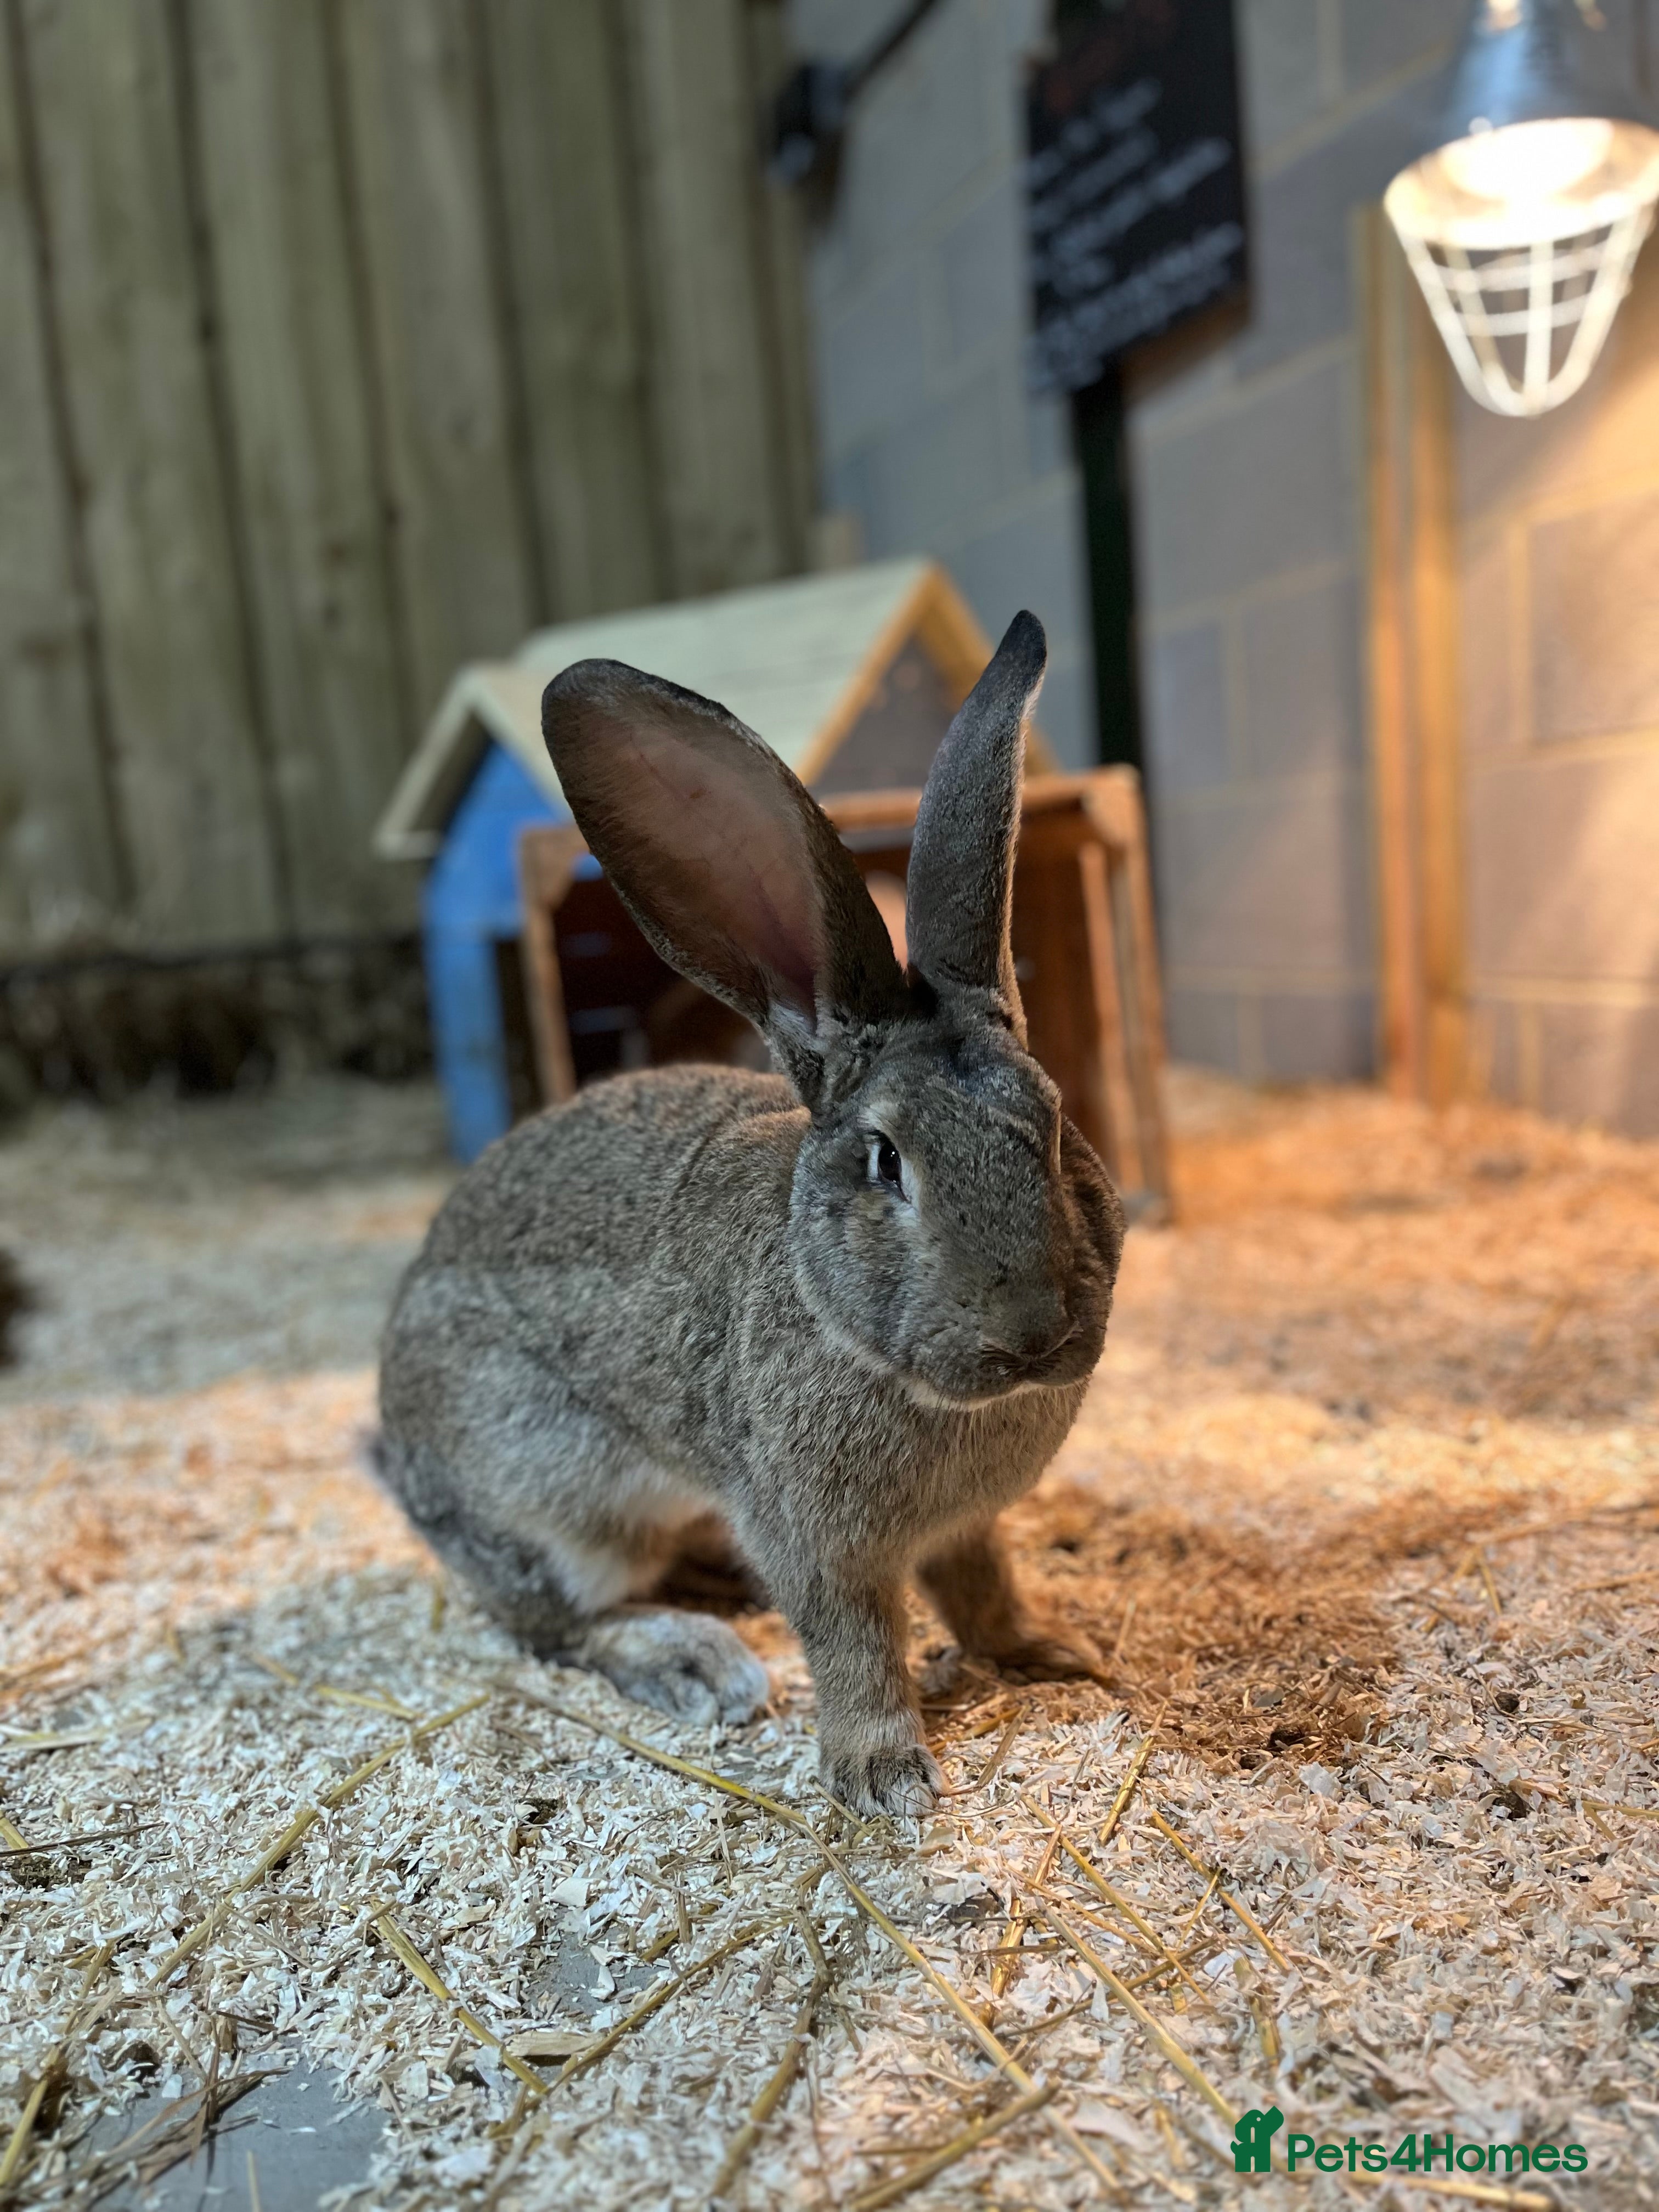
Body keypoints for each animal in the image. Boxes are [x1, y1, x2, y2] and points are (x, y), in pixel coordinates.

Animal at [376, 610, 1125, 1817]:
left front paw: (1052, 1651)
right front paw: (886, 1779)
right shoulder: (820, 1546)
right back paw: (697, 1659)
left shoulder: (966, 1527)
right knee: (560, 1624)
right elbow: (856, 1648)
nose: (1028, 1336)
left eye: (1055, 1127)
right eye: (886, 1162)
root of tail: (393, 1459)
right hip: (552, 1500)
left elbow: (984, 1587)